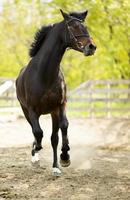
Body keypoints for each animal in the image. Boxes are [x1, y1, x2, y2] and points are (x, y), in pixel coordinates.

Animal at [15, 9, 96, 176]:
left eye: (85, 27)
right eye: (73, 27)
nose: (91, 47)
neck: (44, 73)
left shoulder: (59, 106)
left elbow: (62, 128)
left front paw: (64, 158)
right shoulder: (32, 110)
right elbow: (38, 132)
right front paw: (36, 151)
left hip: (52, 113)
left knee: (54, 137)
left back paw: (55, 165)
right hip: (26, 111)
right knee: (35, 131)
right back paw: (35, 155)